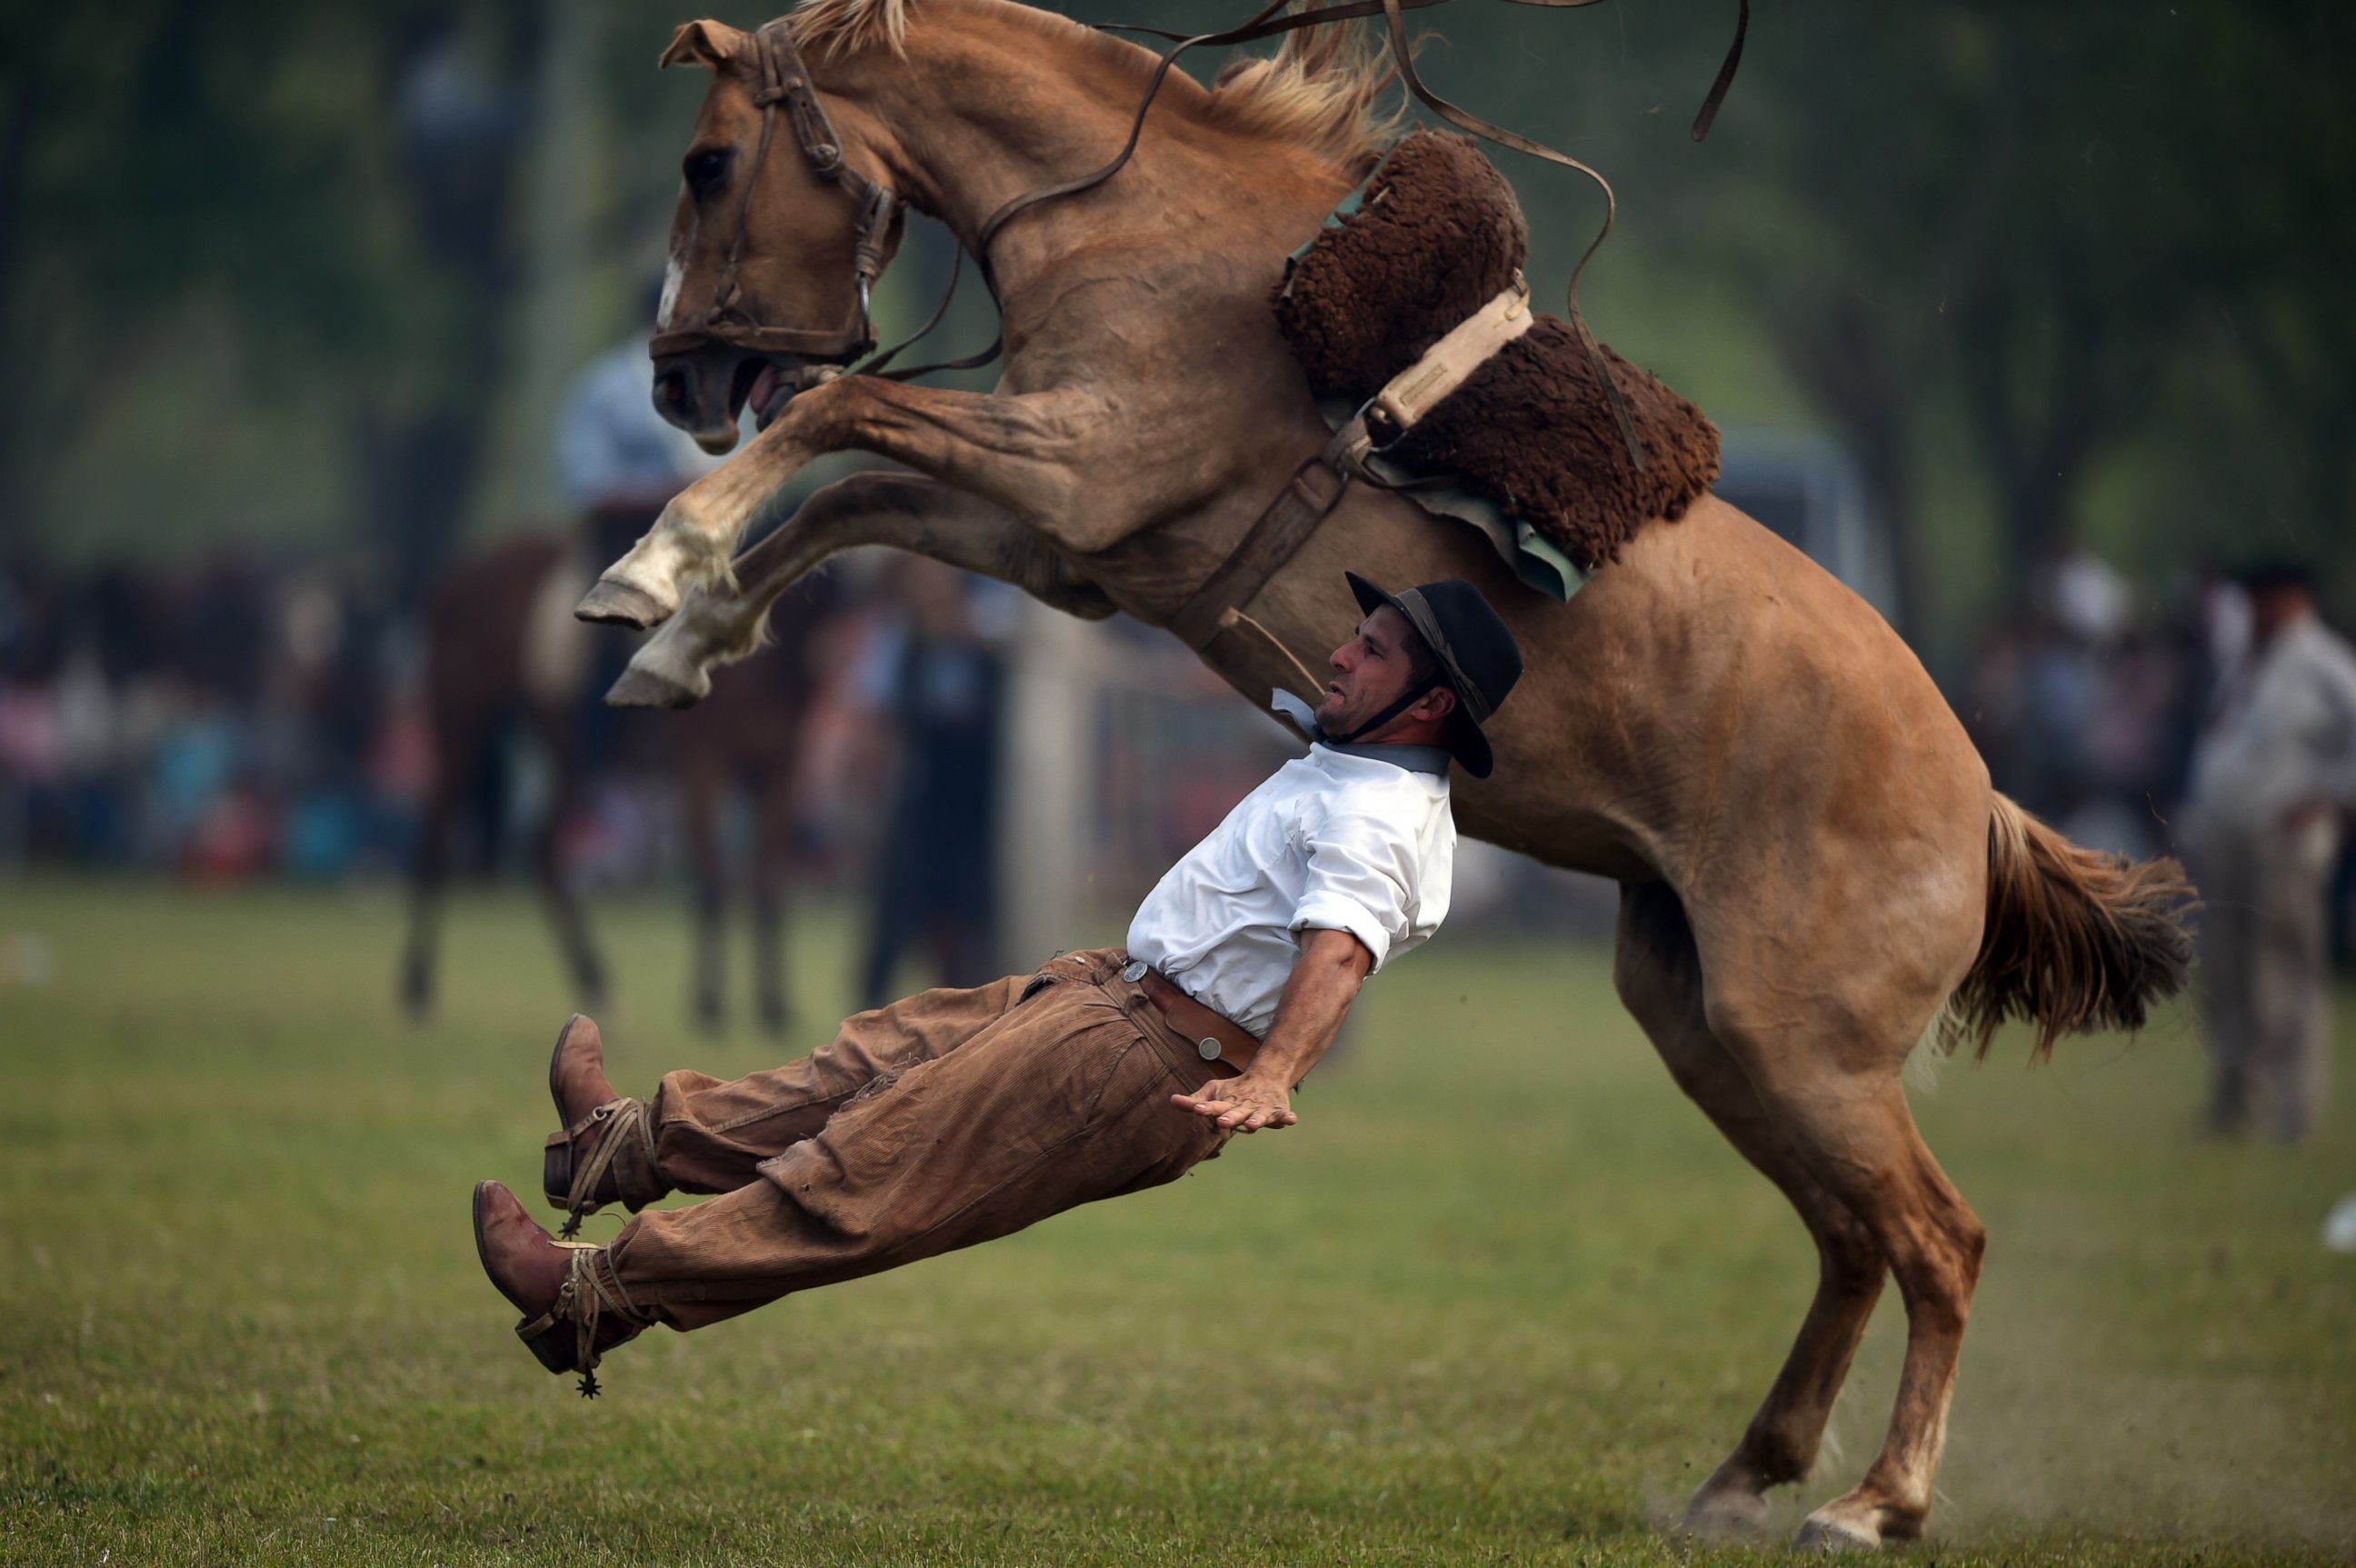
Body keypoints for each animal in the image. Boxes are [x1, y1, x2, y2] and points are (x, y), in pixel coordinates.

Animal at [560, 0, 2195, 1534]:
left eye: (709, 163)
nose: (682, 383)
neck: (1150, 233)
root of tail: (1978, 797)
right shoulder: (1061, 541)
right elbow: (852, 503)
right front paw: (676, 634)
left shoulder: (1072, 467)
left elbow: (848, 422)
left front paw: (653, 562)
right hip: (1711, 1027)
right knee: (1854, 1239)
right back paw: (1745, 1479)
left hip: (1806, 1046)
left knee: (1937, 1238)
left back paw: (1874, 1503)